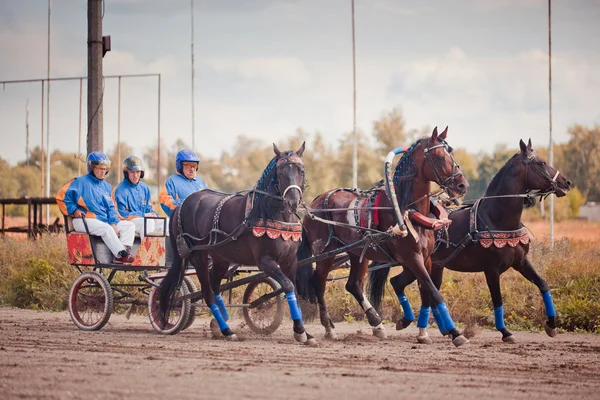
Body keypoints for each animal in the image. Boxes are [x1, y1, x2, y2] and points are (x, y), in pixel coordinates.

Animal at [159, 143, 318, 344]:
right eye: (281, 171)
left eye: (301, 170)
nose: (293, 202)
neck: (268, 212)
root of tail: (183, 204)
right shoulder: (265, 261)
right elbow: (288, 286)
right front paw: (300, 331)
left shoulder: (290, 261)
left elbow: (294, 291)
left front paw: (304, 332)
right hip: (197, 256)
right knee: (208, 293)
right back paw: (226, 330)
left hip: (221, 258)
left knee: (215, 287)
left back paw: (220, 322)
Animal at [298, 126, 472, 346]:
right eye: (440, 157)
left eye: (452, 153)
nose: (462, 185)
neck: (407, 209)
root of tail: (314, 203)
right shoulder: (412, 257)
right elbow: (434, 292)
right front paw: (456, 333)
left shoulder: (426, 258)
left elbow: (426, 291)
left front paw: (422, 329)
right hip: (325, 253)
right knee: (318, 284)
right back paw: (329, 327)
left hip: (358, 252)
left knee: (353, 285)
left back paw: (376, 322)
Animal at [370, 139, 572, 342]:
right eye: (541, 163)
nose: (566, 182)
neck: (495, 218)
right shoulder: (491, 270)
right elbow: (497, 300)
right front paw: (505, 332)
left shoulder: (521, 262)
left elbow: (543, 284)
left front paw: (551, 324)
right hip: (414, 262)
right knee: (404, 284)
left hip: (431, 265)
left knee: (408, 285)